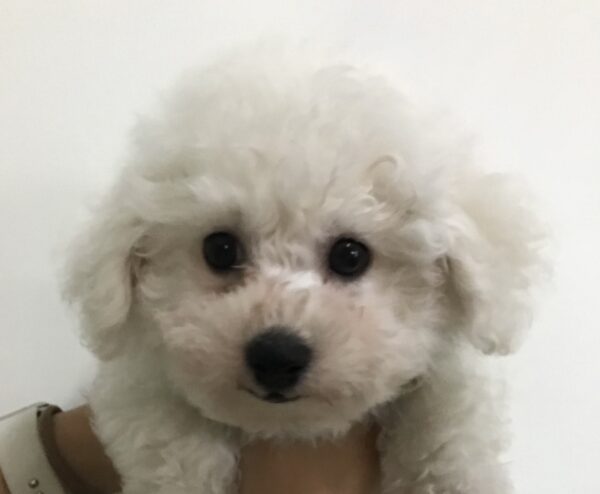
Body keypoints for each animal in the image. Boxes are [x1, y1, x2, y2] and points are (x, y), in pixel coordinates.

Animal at [64, 45, 546, 493]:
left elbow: (451, 422)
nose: (276, 356)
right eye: (220, 249)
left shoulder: (448, 374)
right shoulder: (140, 376)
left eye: (351, 255)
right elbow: (168, 435)